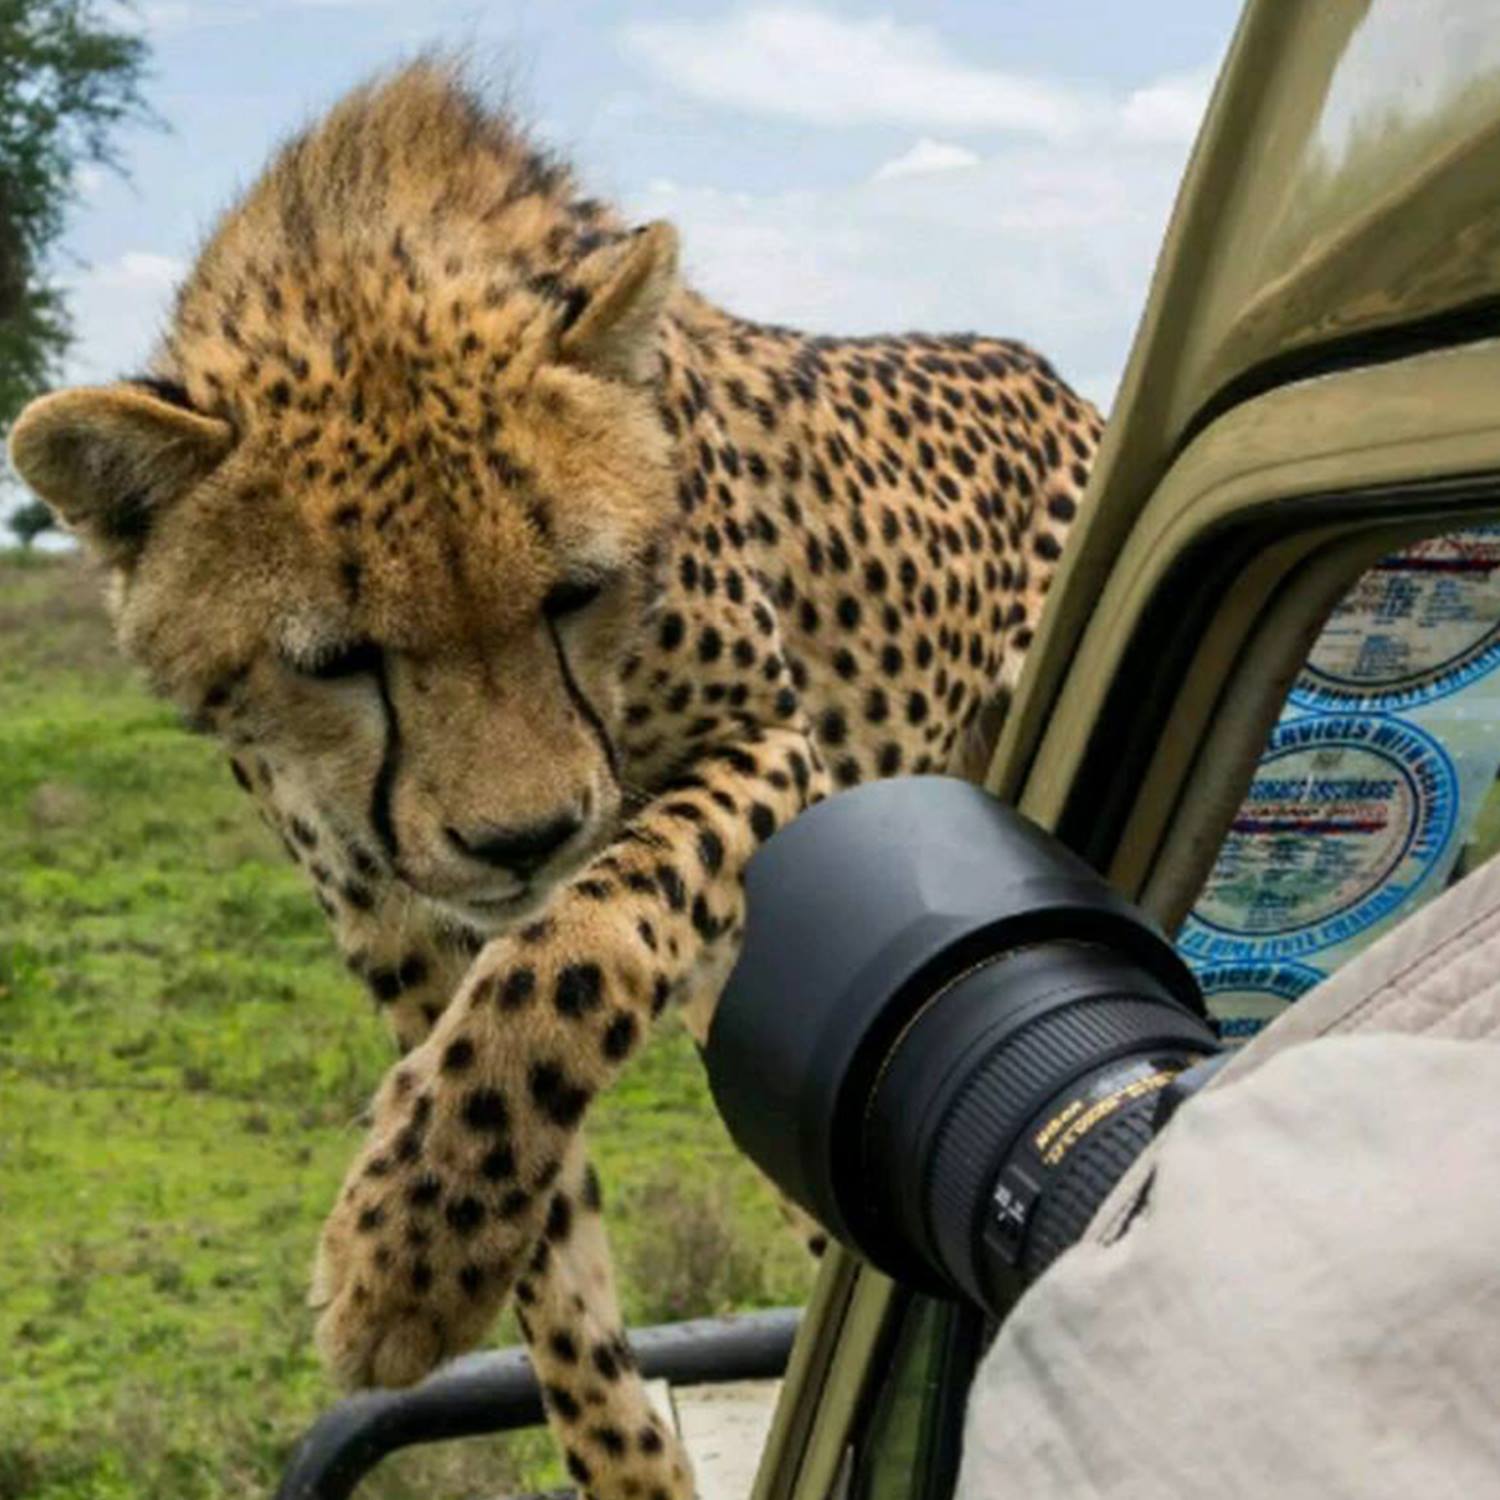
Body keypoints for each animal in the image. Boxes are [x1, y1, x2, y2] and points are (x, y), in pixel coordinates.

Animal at [8, 61, 1104, 1500]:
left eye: (574, 592)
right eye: (337, 659)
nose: (520, 837)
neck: (355, 258)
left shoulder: (770, 746)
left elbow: (580, 943)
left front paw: (395, 1269)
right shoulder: (404, 939)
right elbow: (543, 1240)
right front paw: (462, 1301)